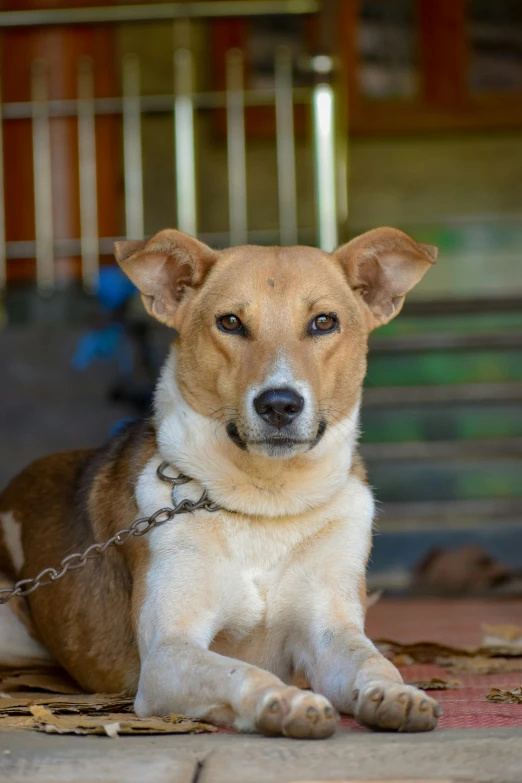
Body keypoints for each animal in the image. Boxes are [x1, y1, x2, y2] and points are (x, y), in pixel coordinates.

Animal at [0, 225, 438, 736]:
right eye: (230, 322)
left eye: (324, 322)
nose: (279, 404)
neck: (266, 501)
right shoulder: (169, 653)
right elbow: (238, 670)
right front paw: (282, 699)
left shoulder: (331, 632)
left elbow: (371, 661)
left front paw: (396, 693)